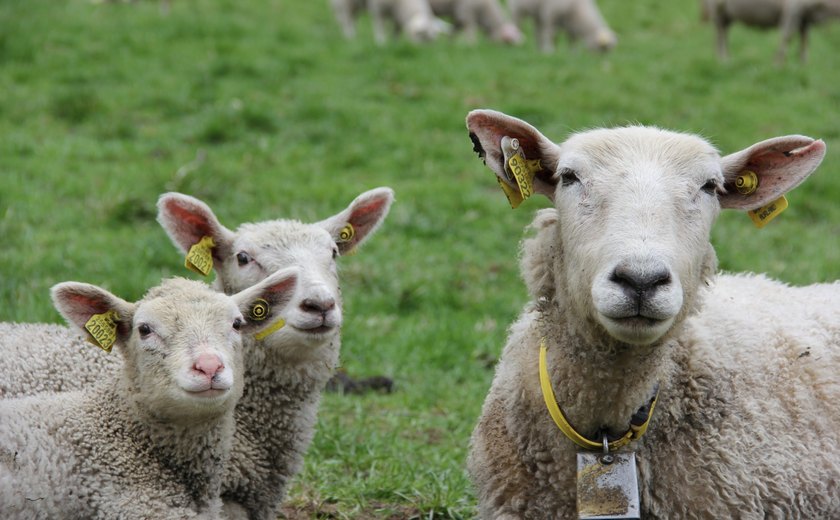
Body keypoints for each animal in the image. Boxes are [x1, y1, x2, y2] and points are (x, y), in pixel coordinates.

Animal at [704, 0, 840, 62]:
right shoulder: (793, 9)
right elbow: (787, 38)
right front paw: (778, 64)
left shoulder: (804, 18)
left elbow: (804, 41)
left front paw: (802, 65)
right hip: (718, 9)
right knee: (720, 35)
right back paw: (724, 60)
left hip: (727, 15)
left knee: (722, 35)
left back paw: (725, 58)